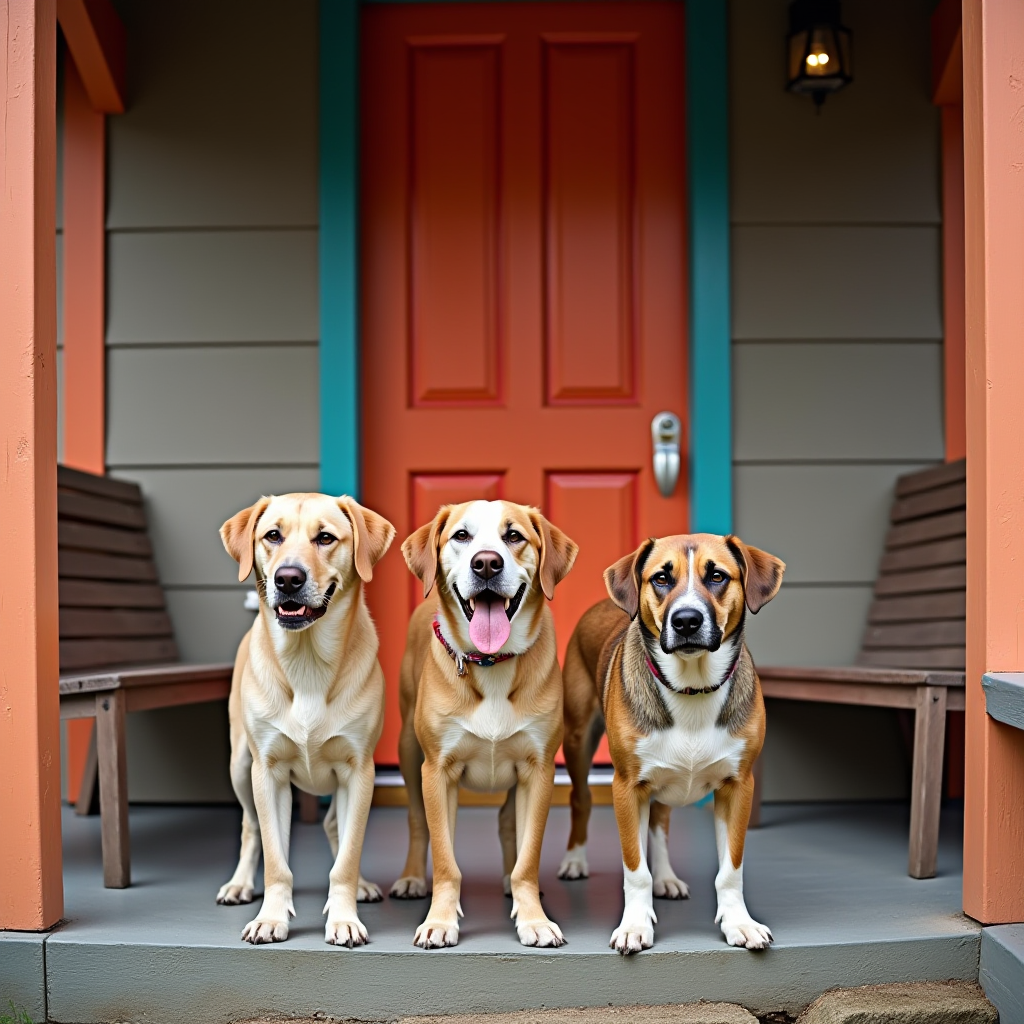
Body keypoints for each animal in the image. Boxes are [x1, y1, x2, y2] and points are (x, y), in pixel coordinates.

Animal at [218, 491, 393, 946]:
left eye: (325, 537)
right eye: (272, 536)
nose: (288, 579)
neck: (308, 661)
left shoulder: (359, 771)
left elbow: (347, 856)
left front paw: (344, 917)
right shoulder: (268, 772)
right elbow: (276, 859)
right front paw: (271, 917)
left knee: (337, 829)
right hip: (240, 766)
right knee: (248, 828)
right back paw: (239, 884)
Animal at [391, 499, 577, 946]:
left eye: (514, 536)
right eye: (461, 535)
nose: (487, 563)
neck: (491, 662)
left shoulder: (539, 771)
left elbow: (528, 856)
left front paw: (533, 918)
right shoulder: (436, 772)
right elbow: (445, 858)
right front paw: (440, 921)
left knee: (509, 823)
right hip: (408, 754)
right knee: (418, 821)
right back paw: (411, 879)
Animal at [561, 536, 782, 950]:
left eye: (717, 576)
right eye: (661, 578)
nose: (686, 620)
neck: (692, 686)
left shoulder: (738, 787)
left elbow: (731, 868)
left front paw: (738, 922)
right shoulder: (627, 787)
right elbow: (635, 869)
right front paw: (634, 925)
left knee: (660, 822)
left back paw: (665, 878)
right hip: (578, 741)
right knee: (581, 800)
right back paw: (575, 861)